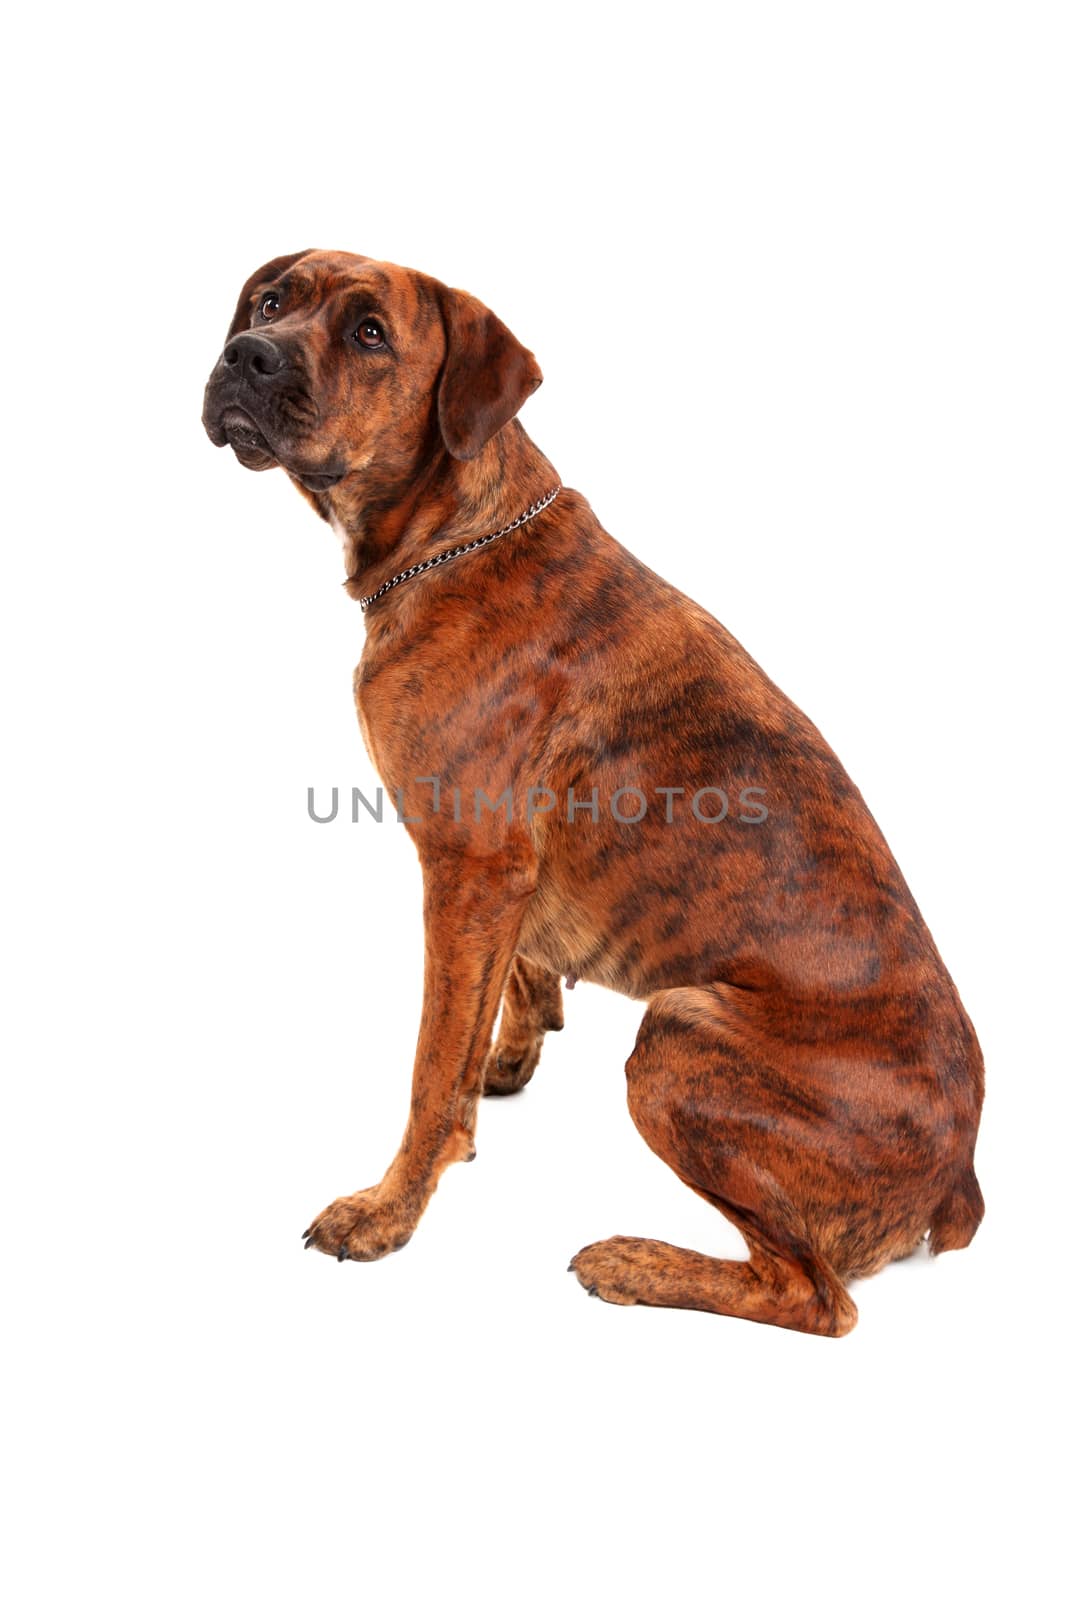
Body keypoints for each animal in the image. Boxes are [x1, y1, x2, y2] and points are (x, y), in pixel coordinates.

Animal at [199, 249, 985, 1337]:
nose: (248, 354)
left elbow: (427, 1065)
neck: (459, 533)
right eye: (272, 300)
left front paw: (388, 1210)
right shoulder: (498, 880)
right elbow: (505, 988)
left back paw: (633, 1263)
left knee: (812, 1295)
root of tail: (959, 1174)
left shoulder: (467, 868)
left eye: (368, 333)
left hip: (680, 1032)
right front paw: (503, 1067)